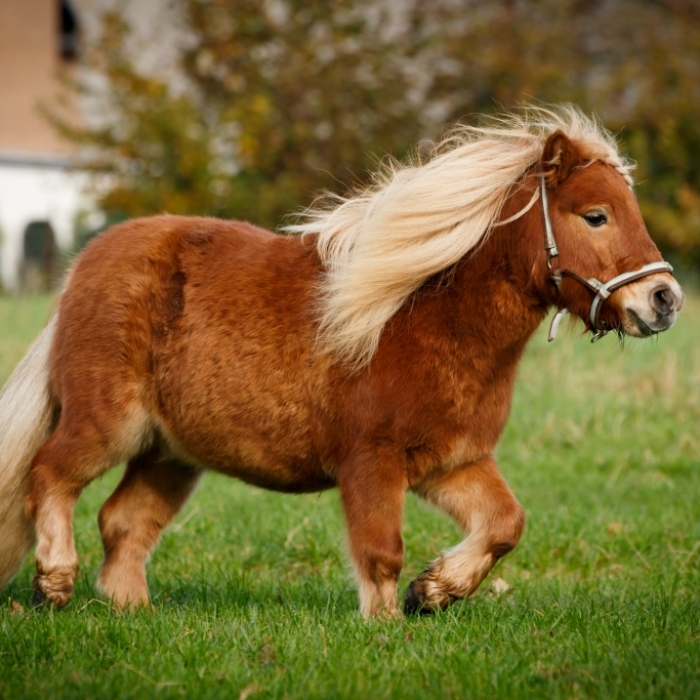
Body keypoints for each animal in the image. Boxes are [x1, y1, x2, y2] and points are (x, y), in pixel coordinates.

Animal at [0, 106, 684, 619]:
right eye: (595, 215)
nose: (665, 299)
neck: (421, 316)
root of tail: (83, 269)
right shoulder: (372, 462)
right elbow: (381, 552)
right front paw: (388, 626)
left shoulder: (454, 463)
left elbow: (505, 524)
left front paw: (435, 591)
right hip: (107, 426)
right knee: (48, 474)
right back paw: (54, 582)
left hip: (170, 454)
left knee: (123, 522)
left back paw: (131, 611)